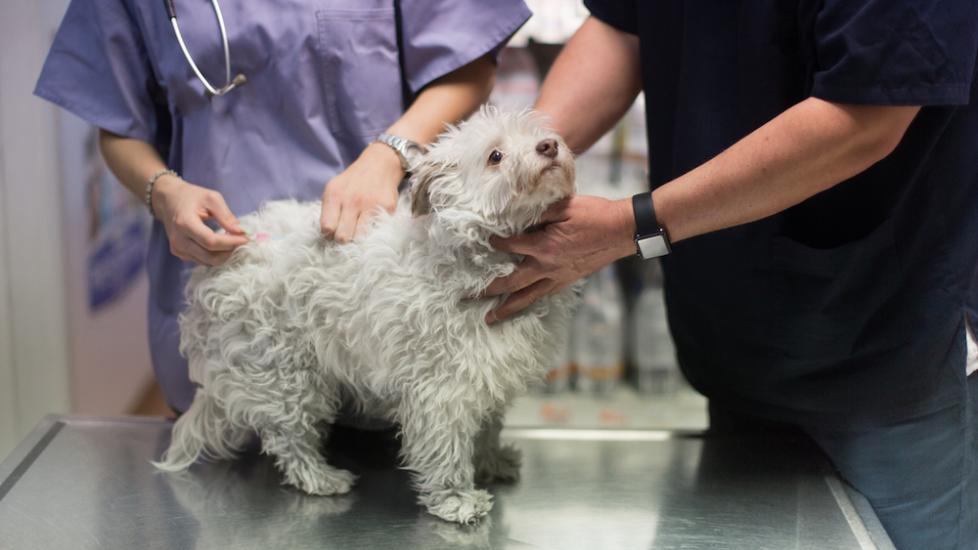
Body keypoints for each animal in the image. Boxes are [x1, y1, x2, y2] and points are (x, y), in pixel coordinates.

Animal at [155, 108, 576, 528]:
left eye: (536, 133)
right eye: (495, 156)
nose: (548, 146)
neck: (477, 256)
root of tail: (222, 262)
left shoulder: (490, 374)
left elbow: (487, 429)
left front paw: (491, 462)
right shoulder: (442, 389)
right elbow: (447, 449)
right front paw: (456, 500)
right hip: (285, 374)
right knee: (288, 437)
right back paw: (320, 478)